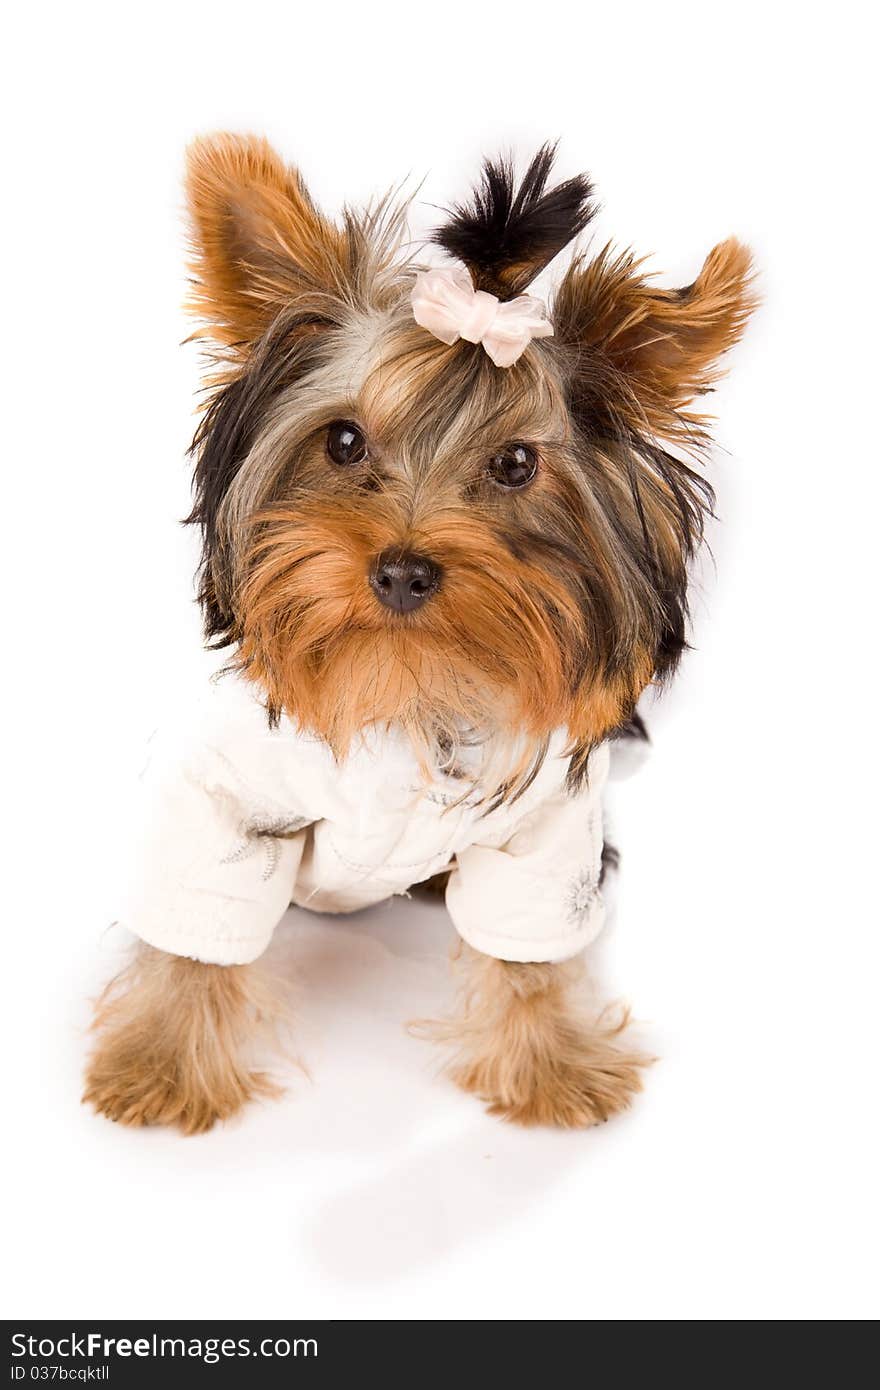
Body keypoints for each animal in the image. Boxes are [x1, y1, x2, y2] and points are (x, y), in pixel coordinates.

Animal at [84, 138, 756, 1128]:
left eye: (515, 463)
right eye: (344, 441)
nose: (401, 570)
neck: (403, 677)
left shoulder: (548, 832)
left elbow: (530, 947)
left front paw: (551, 1063)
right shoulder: (218, 798)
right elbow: (194, 923)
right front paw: (164, 1062)